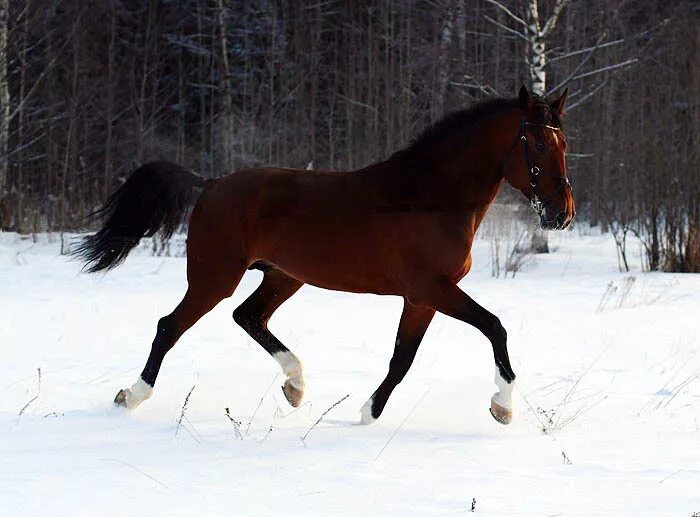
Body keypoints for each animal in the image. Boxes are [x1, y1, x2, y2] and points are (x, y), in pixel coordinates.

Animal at [75, 85, 576, 424]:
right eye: (538, 144)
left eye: (564, 143)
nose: (562, 213)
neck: (430, 198)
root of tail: (211, 184)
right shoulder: (433, 289)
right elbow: (494, 327)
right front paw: (502, 407)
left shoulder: (421, 298)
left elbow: (402, 358)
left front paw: (368, 412)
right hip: (214, 278)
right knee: (170, 326)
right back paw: (131, 396)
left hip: (283, 275)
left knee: (249, 317)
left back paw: (295, 385)